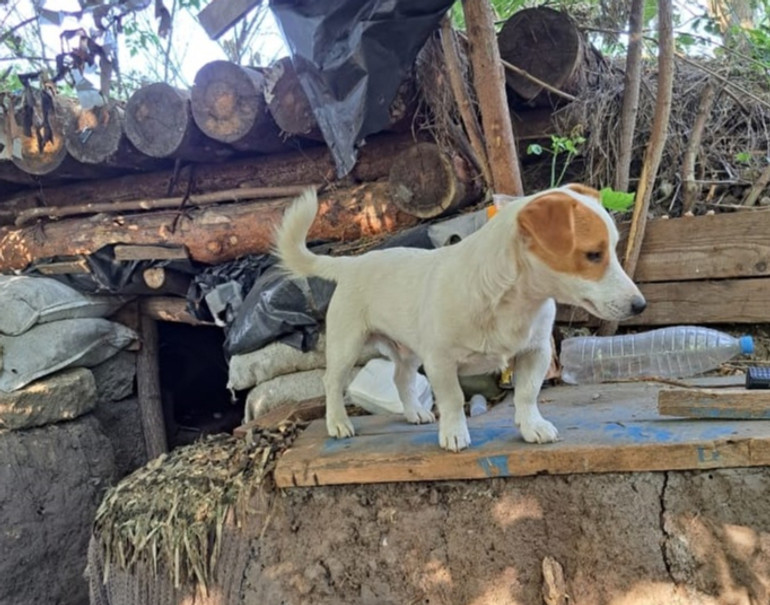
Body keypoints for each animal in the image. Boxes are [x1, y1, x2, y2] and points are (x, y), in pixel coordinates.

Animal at [272, 183, 644, 448]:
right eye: (593, 255)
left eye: (612, 250)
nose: (640, 305)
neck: (515, 301)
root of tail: (351, 263)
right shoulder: (441, 361)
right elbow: (453, 399)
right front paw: (453, 434)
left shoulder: (535, 352)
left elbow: (527, 394)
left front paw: (532, 426)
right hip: (347, 345)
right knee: (333, 383)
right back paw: (338, 423)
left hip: (408, 352)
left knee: (401, 380)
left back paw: (414, 412)